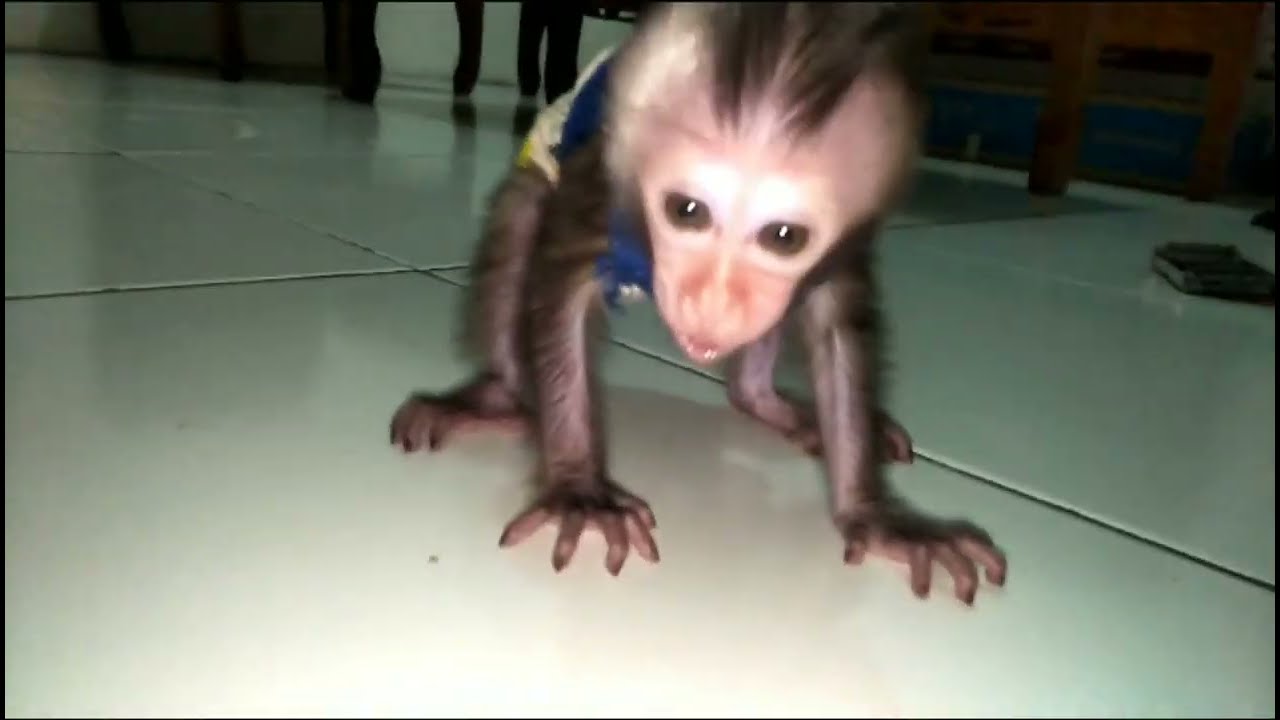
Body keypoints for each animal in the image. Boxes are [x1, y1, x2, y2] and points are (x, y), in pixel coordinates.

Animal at [391, 2, 1007, 604]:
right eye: (686, 210)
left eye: (784, 237)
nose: (714, 298)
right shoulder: (602, 184)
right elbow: (559, 285)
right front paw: (580, 488)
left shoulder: (843, 244)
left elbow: (840, 327)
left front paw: (877, 516)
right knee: (522, 219)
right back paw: (496, 397)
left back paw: (767, 402)